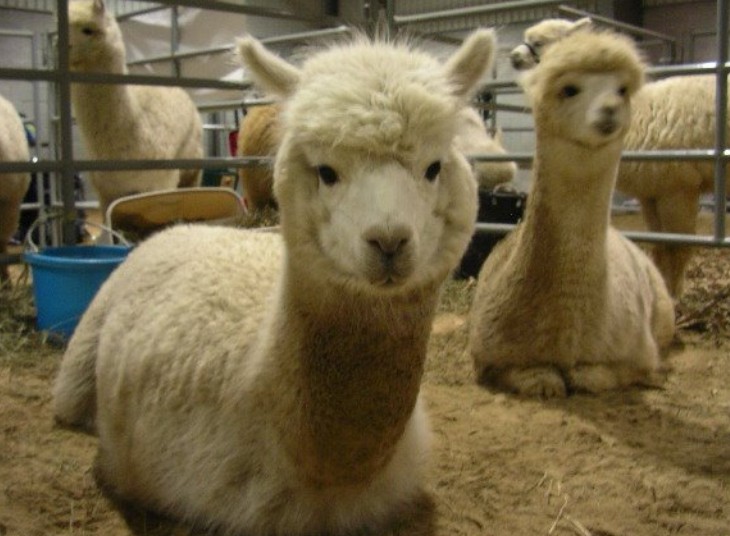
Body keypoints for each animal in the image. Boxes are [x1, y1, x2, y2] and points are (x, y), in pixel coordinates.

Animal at [469, 29, 675, 398]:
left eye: (622, 89)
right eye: (569, 89)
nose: (609, 110)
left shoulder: (640, 354)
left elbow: (597, 376)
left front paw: (583, 374)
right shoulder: (485, 352)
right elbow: (531, 376)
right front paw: (545, 377)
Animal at [511, 17, 728, 297]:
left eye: (539, 42)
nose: (514, 56)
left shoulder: (679, 186)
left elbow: (678, 248)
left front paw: (673, 294)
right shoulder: (653, 191)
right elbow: (660, 246)